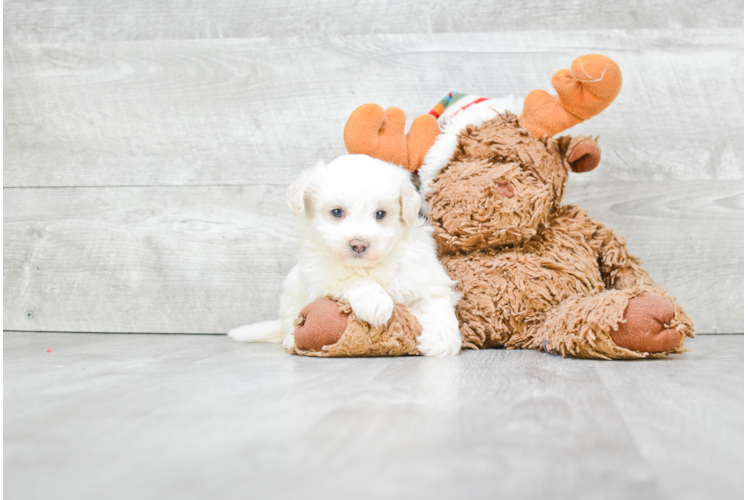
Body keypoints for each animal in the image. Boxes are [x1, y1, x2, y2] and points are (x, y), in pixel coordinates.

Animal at [228, 154, 462, 358]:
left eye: (380, 214)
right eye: (337, 212)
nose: (359, 244)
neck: (369, 265)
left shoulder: (421, 275)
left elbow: (436, 303)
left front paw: (442, 340)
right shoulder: (321, 275)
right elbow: (355, 279)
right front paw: (376, 303)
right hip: (292, 292)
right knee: (289, 319)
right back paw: (290, 338)